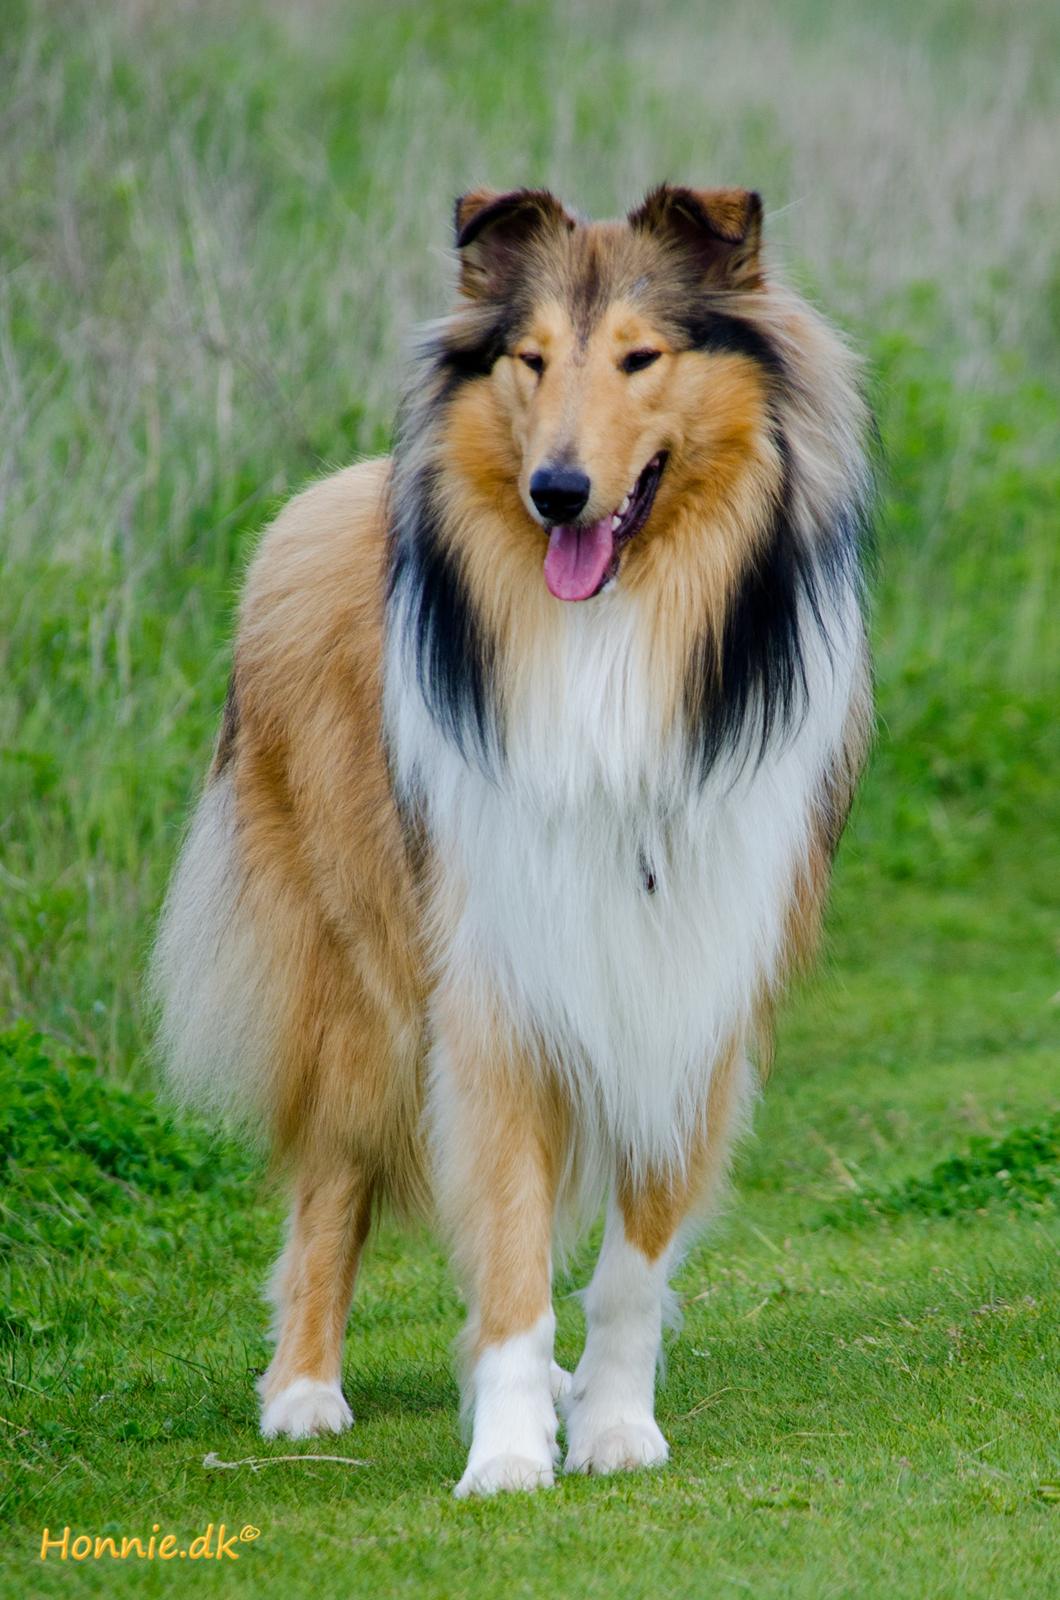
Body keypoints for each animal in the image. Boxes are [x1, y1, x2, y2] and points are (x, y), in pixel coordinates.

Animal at [156, 187, 871, 1497]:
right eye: (530, 360)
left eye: (641, 357)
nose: (557, 492)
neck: (612, 643)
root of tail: (317, 501)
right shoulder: (493, 981)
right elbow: (505, 1244)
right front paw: (505, 1450)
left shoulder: (689, 989)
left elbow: (630, 1259)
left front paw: (612, 1423)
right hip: (355, 980)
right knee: (332, 1177)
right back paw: (302, 1391)